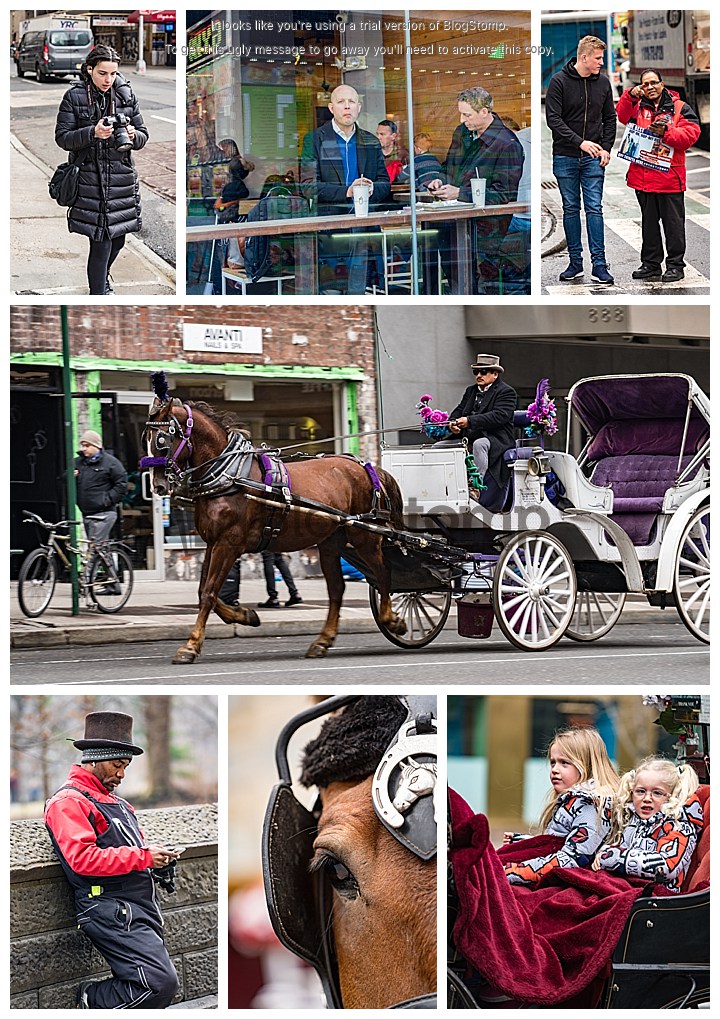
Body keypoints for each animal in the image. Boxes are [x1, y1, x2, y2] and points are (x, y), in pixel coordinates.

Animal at [143, 393, 409, 664]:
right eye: (146, 438)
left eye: (162, 440)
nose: (158, 485)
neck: (228, 475)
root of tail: (367, 467)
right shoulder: (213, 542)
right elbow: (203, 591)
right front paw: (245, 616)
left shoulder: (229, 543)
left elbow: (209, 592)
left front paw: (190, 646)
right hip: (330, 542)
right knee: (337, 589)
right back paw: (322, 641)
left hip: (364, 536)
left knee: (383, 573)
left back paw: (392, 621)